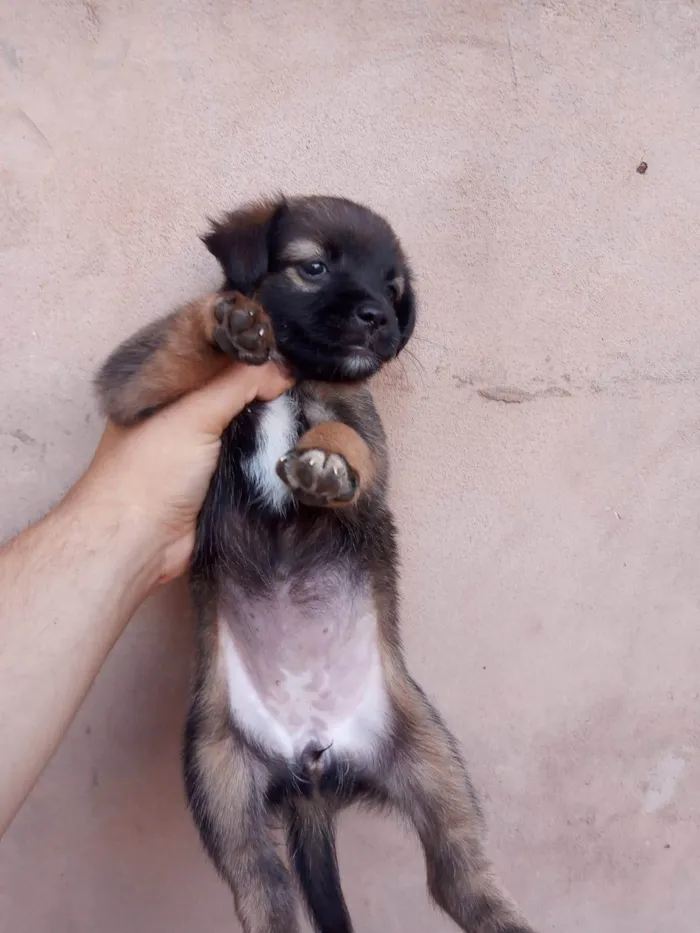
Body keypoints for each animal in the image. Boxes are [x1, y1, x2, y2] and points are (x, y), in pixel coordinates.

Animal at [95, 195, 536, 932]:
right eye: (314, 268)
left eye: (393, 288)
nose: (378, 318)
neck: (294, 375)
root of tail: (313, 760)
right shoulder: (133, 391)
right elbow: (169, 348)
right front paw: (226, 321)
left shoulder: (370, 441)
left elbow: (345, 438)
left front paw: (325, 459)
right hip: (221, 781)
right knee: (265, 891)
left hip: (432, 761)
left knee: (461, 875)